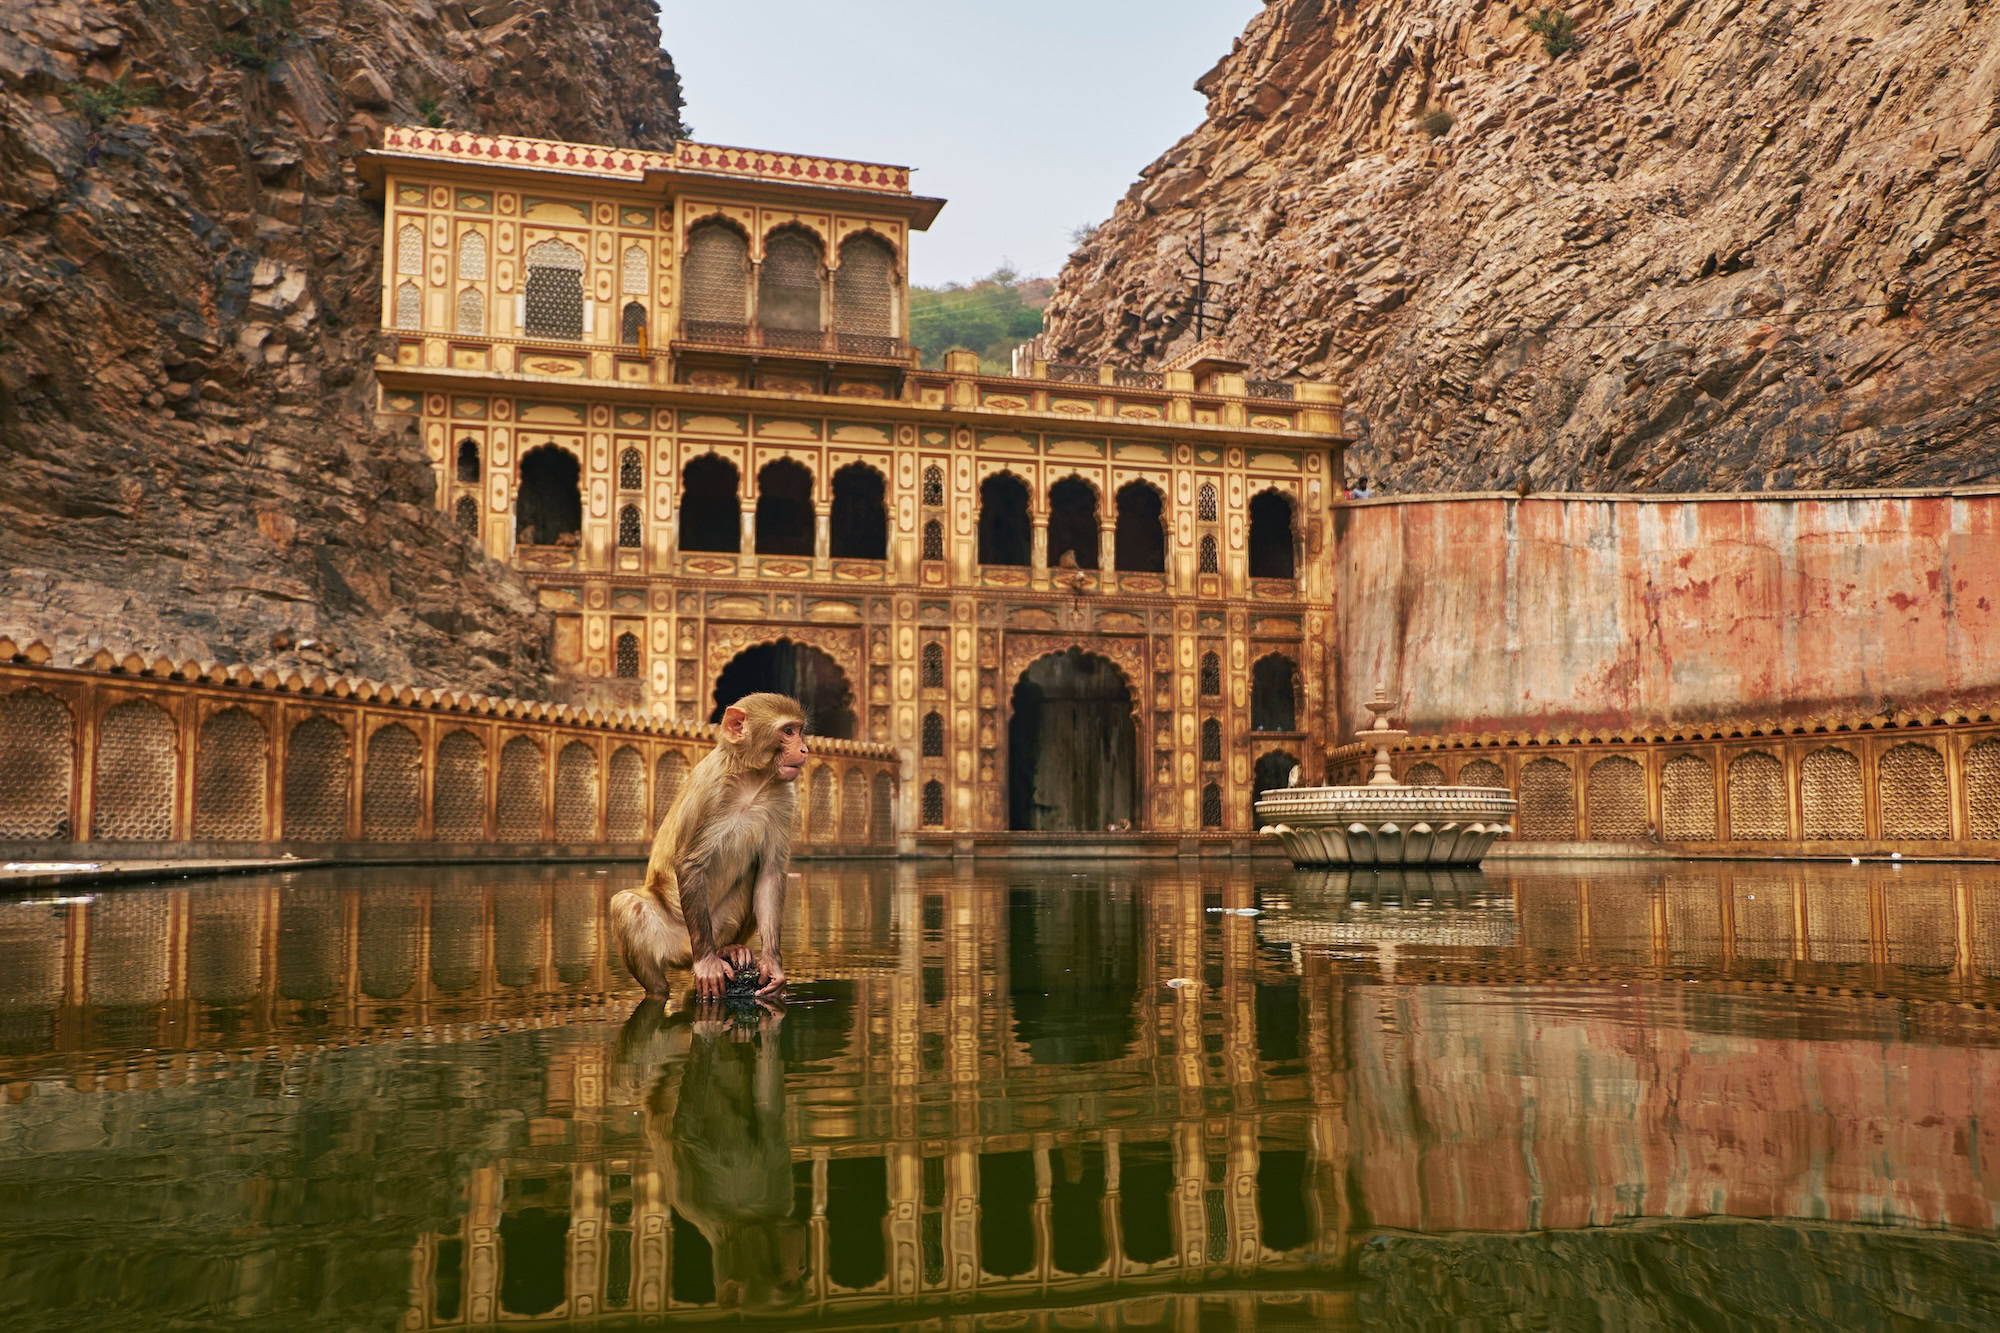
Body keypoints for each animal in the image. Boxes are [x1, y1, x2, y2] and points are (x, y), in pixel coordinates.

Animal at [611, 691, 807, 1002]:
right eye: (788, 731)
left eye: (800, 730)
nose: (804, 749)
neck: (752, 779)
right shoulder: (708, 791)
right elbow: (689, 863)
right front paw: (707, 964)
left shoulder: (784, 798)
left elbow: (770, 873)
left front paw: (773, 965)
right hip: (681, 939)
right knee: (627, 904)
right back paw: (673, 981)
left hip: (718, 926)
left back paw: (729, 949)